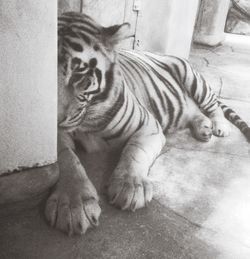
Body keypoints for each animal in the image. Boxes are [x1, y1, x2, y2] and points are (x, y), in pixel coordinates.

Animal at [45, 11, 250, 237]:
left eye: (78, 75)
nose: (55, 121)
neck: (88, 116)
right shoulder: (58, 139)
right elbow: (68, 159)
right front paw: (74, 204)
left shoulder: (148, 126)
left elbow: (134, 152)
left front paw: (131, 186)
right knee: (193, 111)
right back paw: (204, 129)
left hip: (195, 81)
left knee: (213, 106)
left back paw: (219, 127)